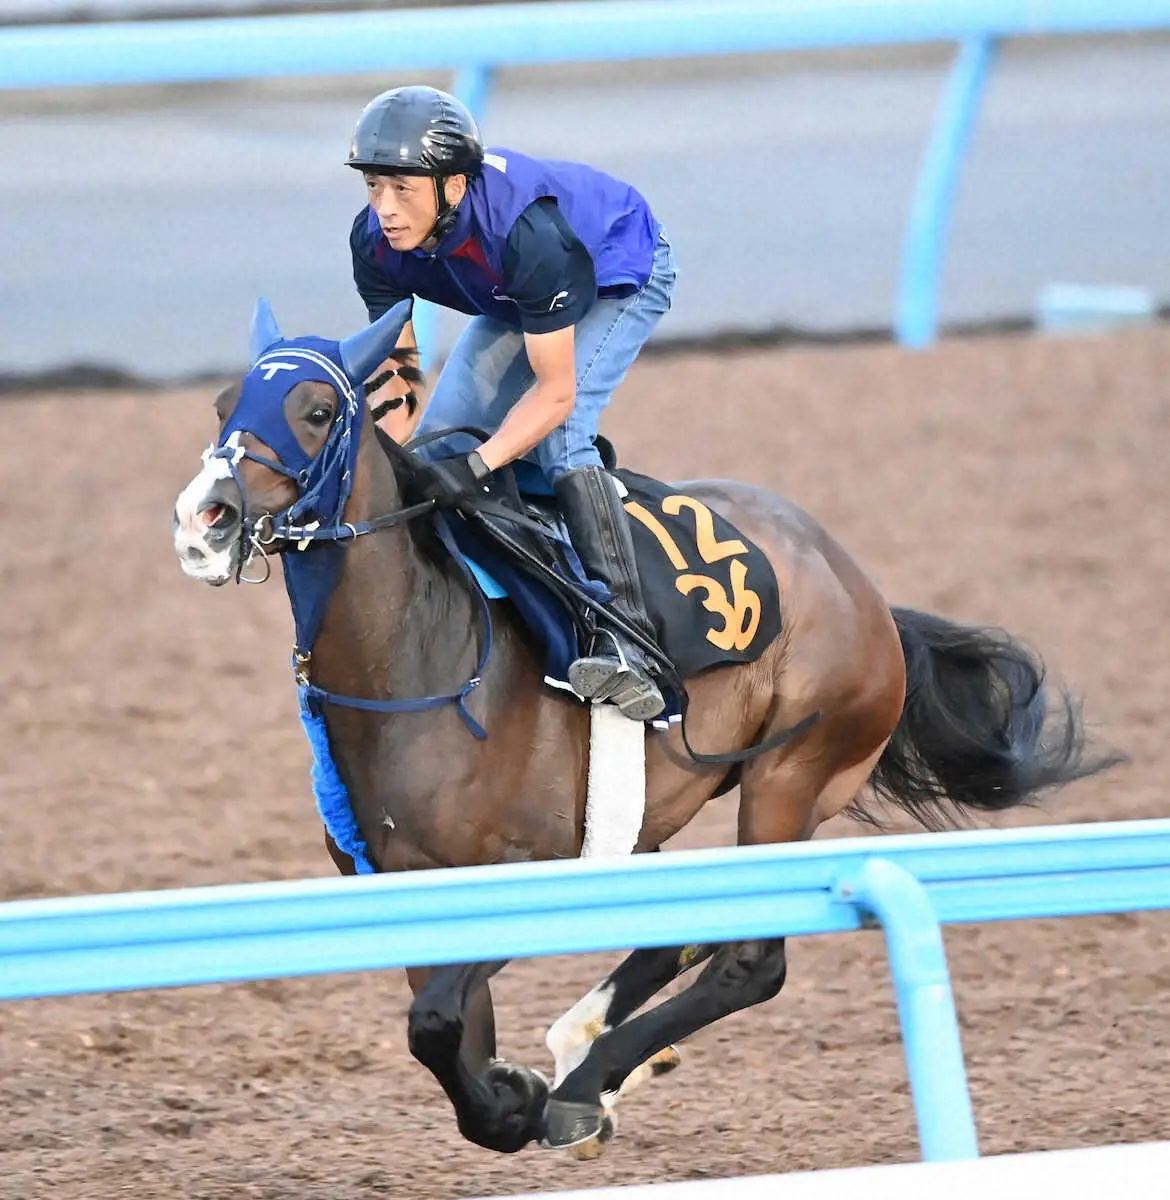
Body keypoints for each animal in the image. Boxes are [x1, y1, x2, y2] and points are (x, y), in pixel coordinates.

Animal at [171, 297, 1118, 1152]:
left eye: (316, 411)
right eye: (222, 407)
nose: (204, 520)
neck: (420, 660)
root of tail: (862, 587)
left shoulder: (531, 868)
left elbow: (438, 1025)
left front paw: (523, 1100)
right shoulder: (409, 888)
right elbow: (445, 1029)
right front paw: (509, 1088)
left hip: (791, 775)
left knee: (752, 958)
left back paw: (584, 1081)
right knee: (683, 927)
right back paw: (586, 1055)